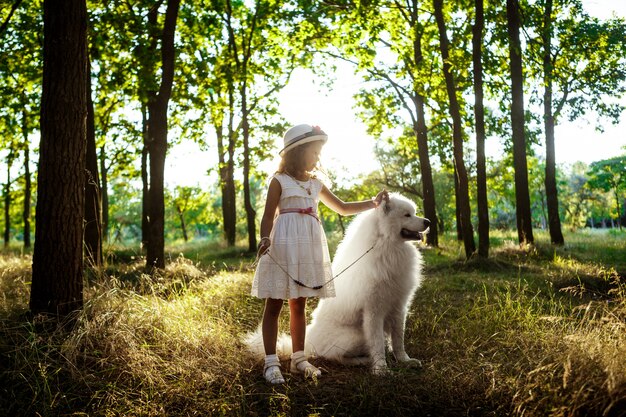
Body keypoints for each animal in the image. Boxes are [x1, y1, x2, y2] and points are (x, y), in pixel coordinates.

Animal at [304, 193, 428, 372]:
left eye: (414, 213)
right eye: (407, 215)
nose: (428, 222)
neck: (387, 246)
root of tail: (309, 340)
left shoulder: (399, 306)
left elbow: (398, 339)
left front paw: (405, 360)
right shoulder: (373, 311)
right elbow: (377, 343)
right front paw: (381, 368)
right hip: (355, 337)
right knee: (336, 356)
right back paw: (364, 361)